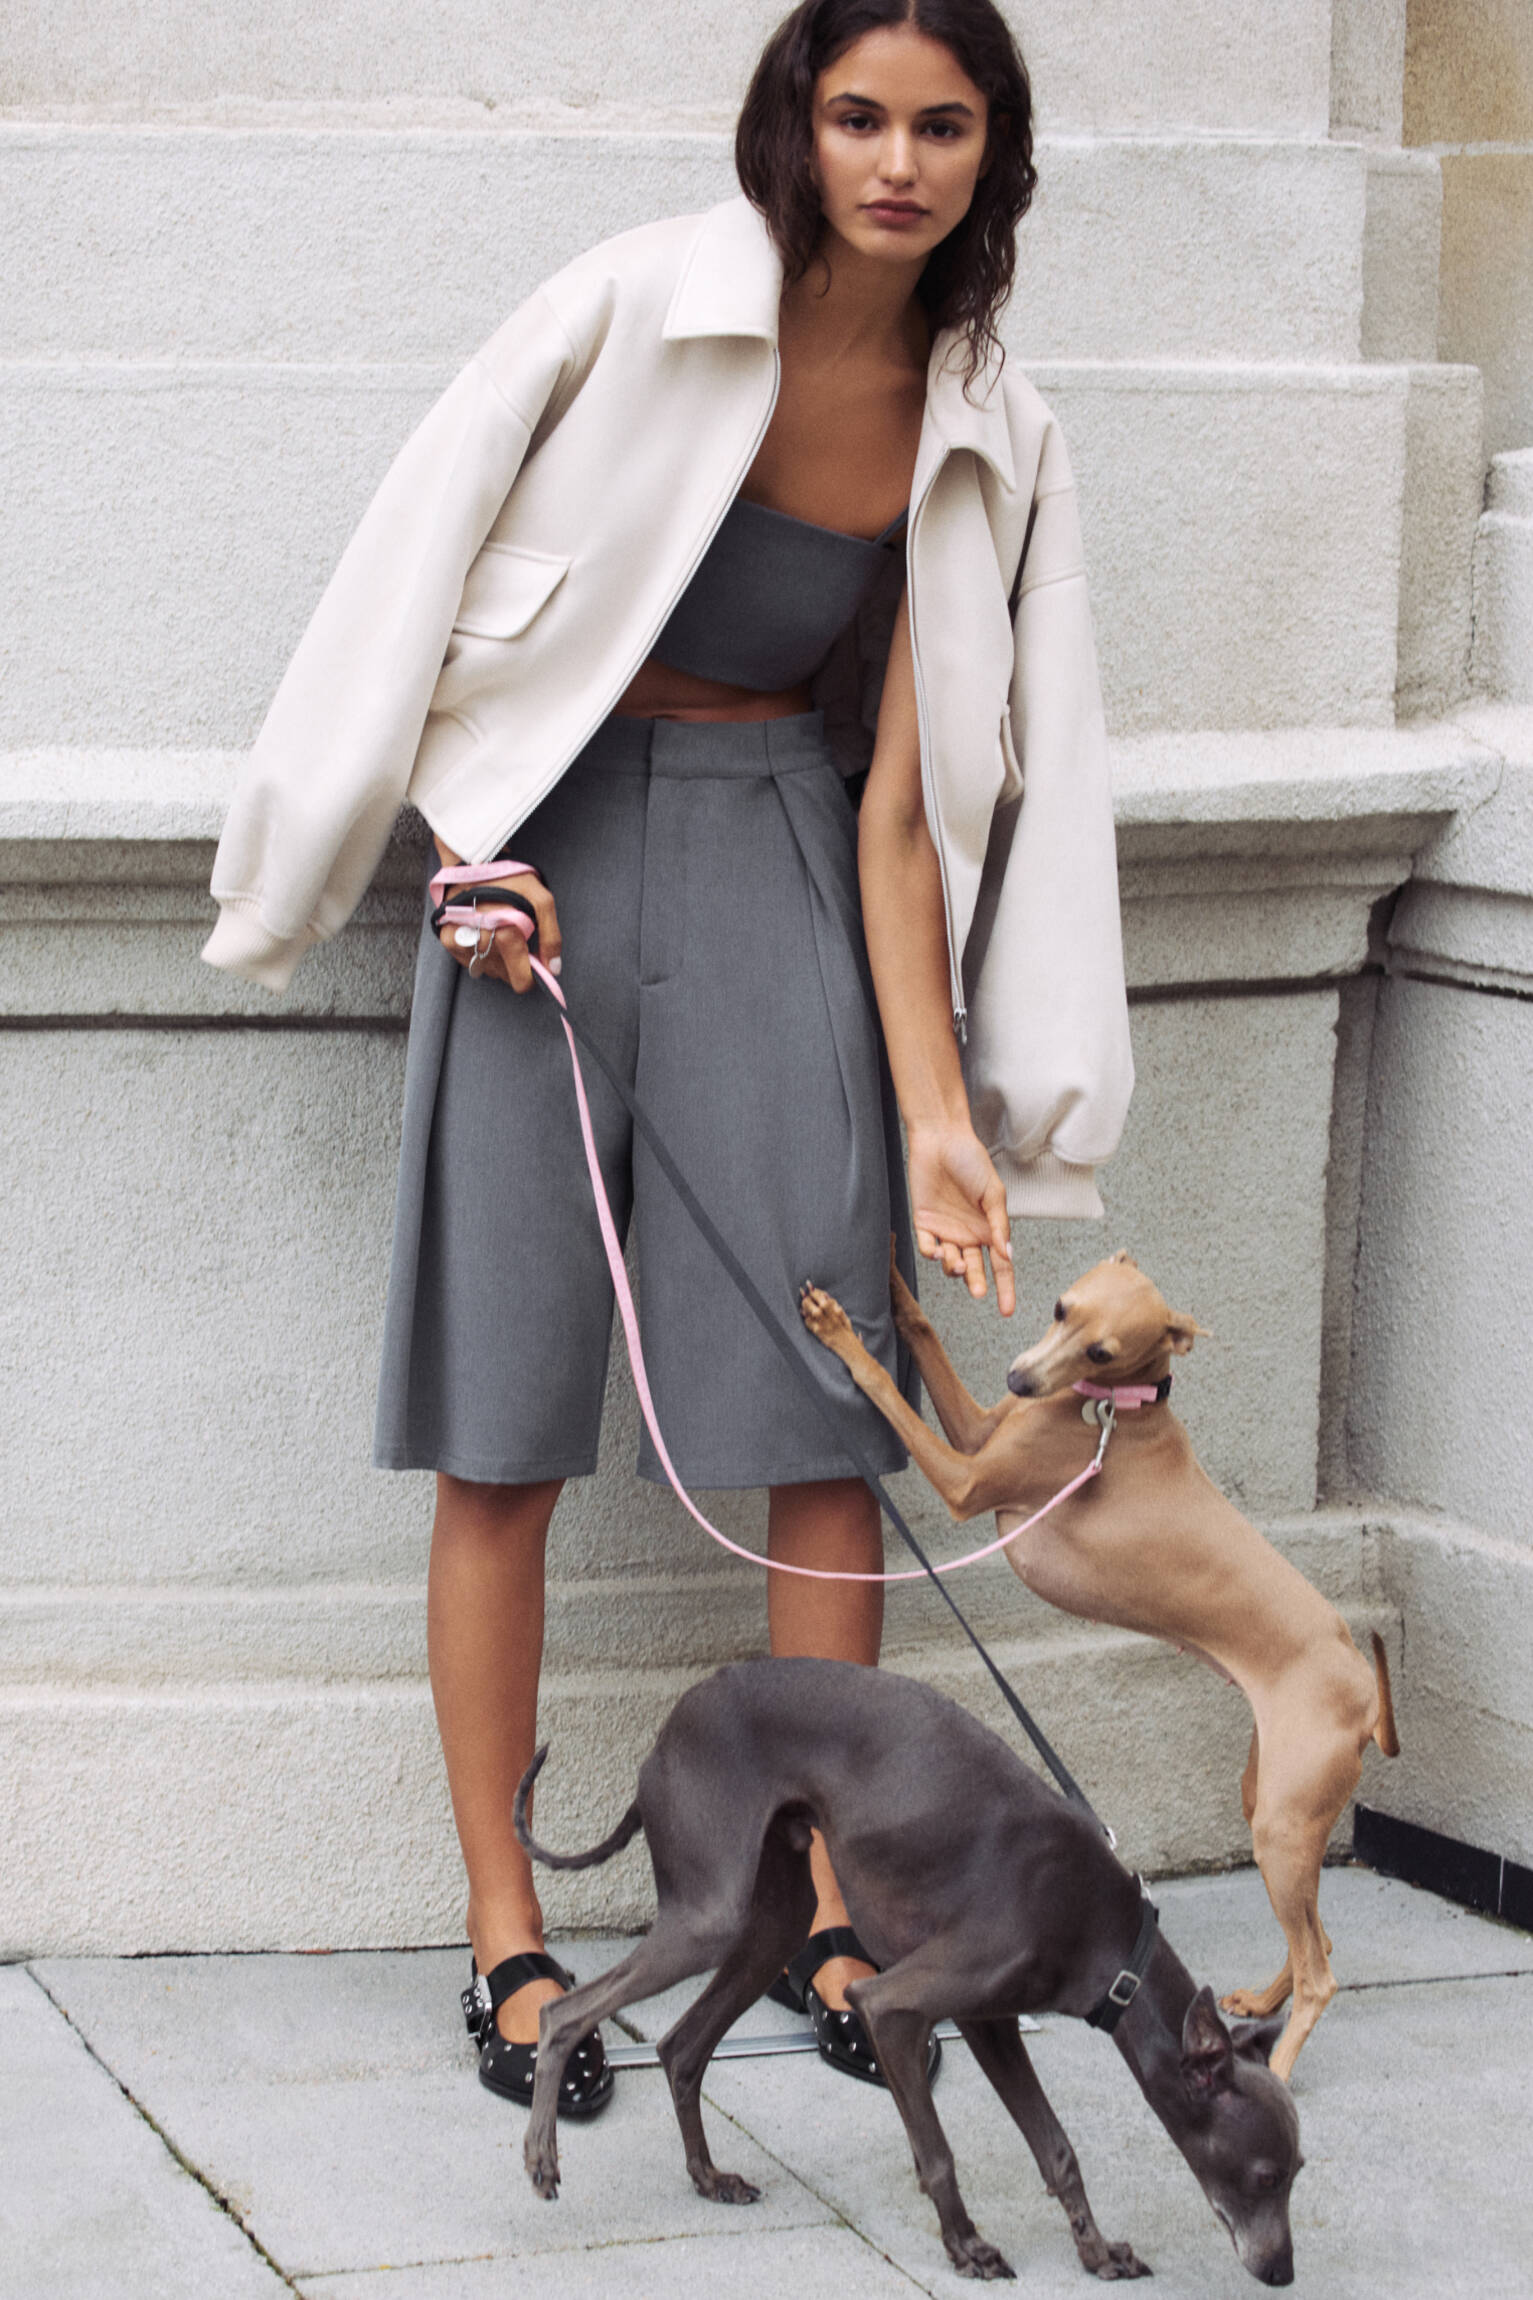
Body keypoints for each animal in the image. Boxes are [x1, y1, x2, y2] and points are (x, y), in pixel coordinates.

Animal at [514, 1657, 1301, 2284]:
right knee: (564, 2012)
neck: (1112, 1949)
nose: (1281, 2273)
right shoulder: (888, 2006)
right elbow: (938, 2153)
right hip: (710, 1917)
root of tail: (670, 1728)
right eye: (1263, 2175)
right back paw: (542, 2158)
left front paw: (1097, 2253)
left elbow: (1057, 2149)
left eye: (1295, 2173)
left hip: (773, 1921)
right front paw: (967, 2246)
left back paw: (709, 2176)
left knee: (681, 2046)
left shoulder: (990, 2023)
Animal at [798, 1248, 1399, 2082]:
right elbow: (923, 1336)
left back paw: (1278, 2070)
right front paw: (897, 1270)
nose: (1019, 1379)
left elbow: (884, 1389)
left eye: (1102, 1353)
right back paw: (1258, 2002)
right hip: (1271, 1801)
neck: (1115, 1414)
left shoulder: (963, 1480)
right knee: (1317, 1936)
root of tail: (1363, 1690)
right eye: (1059, 1308)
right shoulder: (979, 1429)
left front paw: (839, 1333)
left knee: (1322, 1970)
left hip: (1281, 1823)